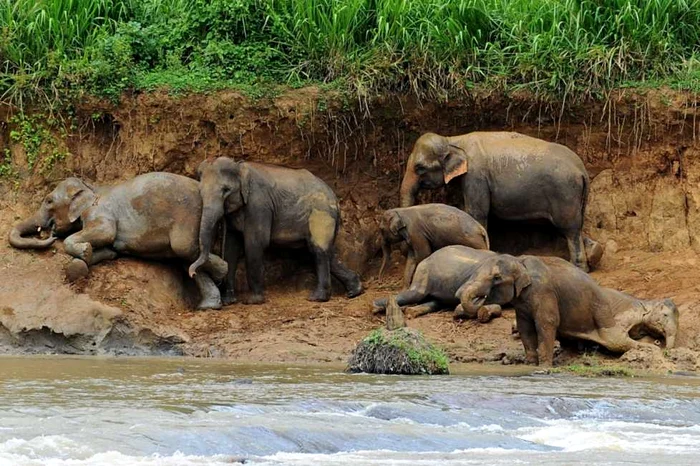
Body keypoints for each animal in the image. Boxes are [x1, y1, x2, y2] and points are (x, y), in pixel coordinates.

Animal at [8, 173, 230, 312]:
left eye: (48, 201)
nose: (50, 234)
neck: (90, 186)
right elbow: (109, 248)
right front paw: (89, 255)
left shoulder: (99, 211)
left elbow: (106, 232)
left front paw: (84, 251)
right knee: (187, 261)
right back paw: (208, 306)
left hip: (189, 215)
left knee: (185, 249)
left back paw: (222, 271)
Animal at [190, 157, 366, 306]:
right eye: (200, 191)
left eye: (226, 190)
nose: (192, 274)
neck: (240, 166)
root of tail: (336, 199)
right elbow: (231, 247)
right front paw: (229, 301)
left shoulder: (259, 204)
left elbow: (255, 243)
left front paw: (252, 301)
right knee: (328, 253)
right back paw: (354, 291)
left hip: (320, 213)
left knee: (318, 251)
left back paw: (317, 298)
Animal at [402, 130, 592, 270]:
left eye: (420, 168)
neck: (454, 140)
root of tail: (582, 169)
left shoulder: (475, 176)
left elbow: (476, 213)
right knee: (577, 224)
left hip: (565, 192)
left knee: (570, 228)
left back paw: (579, 268)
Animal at [456, 253, 680, 366]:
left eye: (496, 278)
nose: (480, 298)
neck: (520, 261)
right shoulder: (524, 302)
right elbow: (525, 327)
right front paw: (530, 364)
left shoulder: (544, 292)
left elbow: (546, 322)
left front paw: (543, 368)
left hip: (603, 315)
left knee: (615, 341)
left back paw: (649, 349)